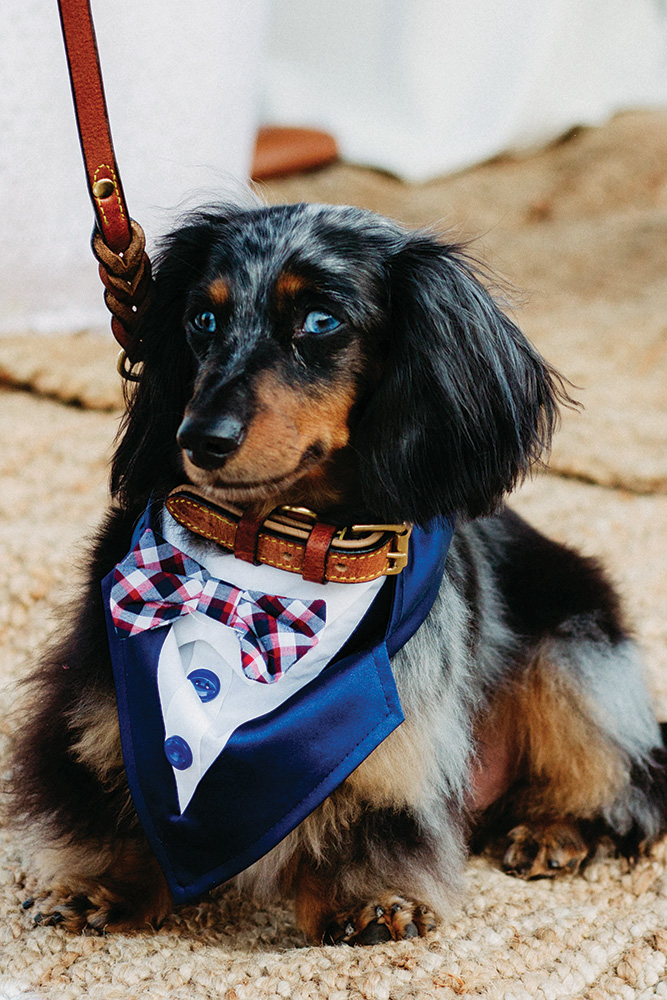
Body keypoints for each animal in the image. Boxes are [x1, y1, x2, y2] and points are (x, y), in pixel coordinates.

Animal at [10, 203, 667, 944]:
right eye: (202, 319)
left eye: (320, 321)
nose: (198, 439)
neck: (264, 558)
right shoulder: (99, 698)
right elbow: (101, 792)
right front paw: (96, 883)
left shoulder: (397, 727)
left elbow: (372, 808)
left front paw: (371, 899)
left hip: (572, 653)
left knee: (627, 783)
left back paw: (553, 829)